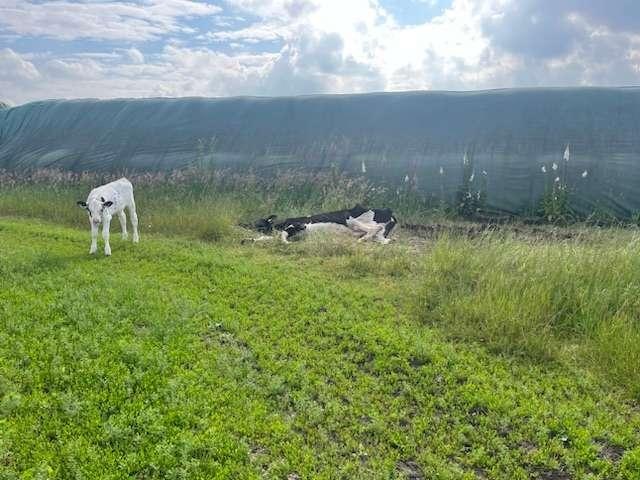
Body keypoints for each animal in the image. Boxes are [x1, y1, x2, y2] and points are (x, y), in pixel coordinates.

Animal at [248, 205, 398, 246]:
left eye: (259, 223)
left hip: (349, 219)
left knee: (374, 229)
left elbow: (282, 235)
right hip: (380, 235)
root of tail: (388, 211)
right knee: (384, 240)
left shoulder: (298, 224)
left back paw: (359, 240)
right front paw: (251, 240)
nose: (245, 225)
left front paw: (286, 242)